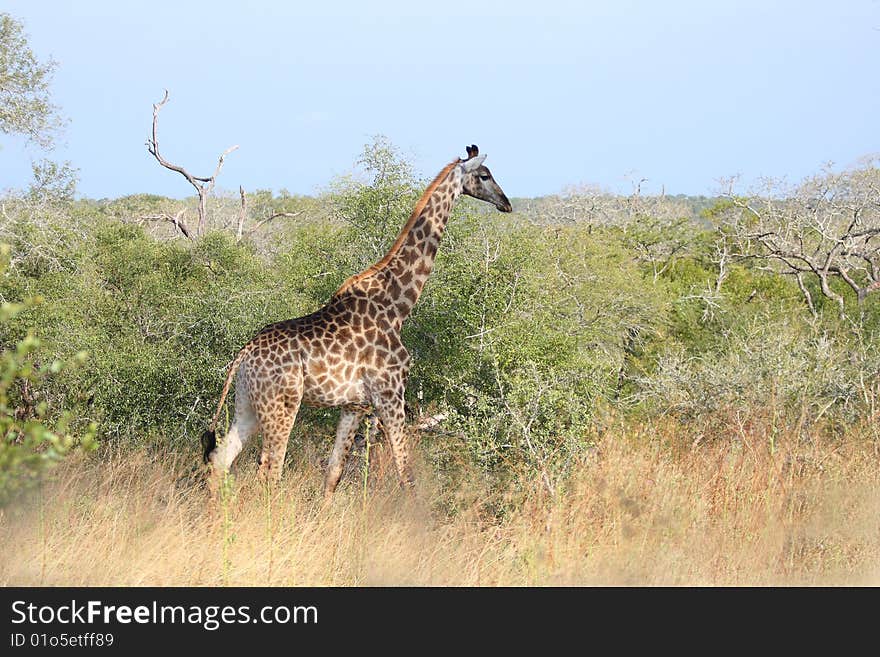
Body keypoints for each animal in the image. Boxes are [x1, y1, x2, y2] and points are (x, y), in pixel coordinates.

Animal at [202, 144, 512, 494]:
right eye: (484, 175)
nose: (506, 202)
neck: (397, 305)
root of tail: (243, 356)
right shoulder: (390, 393)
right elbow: (406, 474)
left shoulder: (355, 404)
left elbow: (334, 472)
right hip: (282, 404)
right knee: (270, 470)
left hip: (247, 404)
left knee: (220, 460)